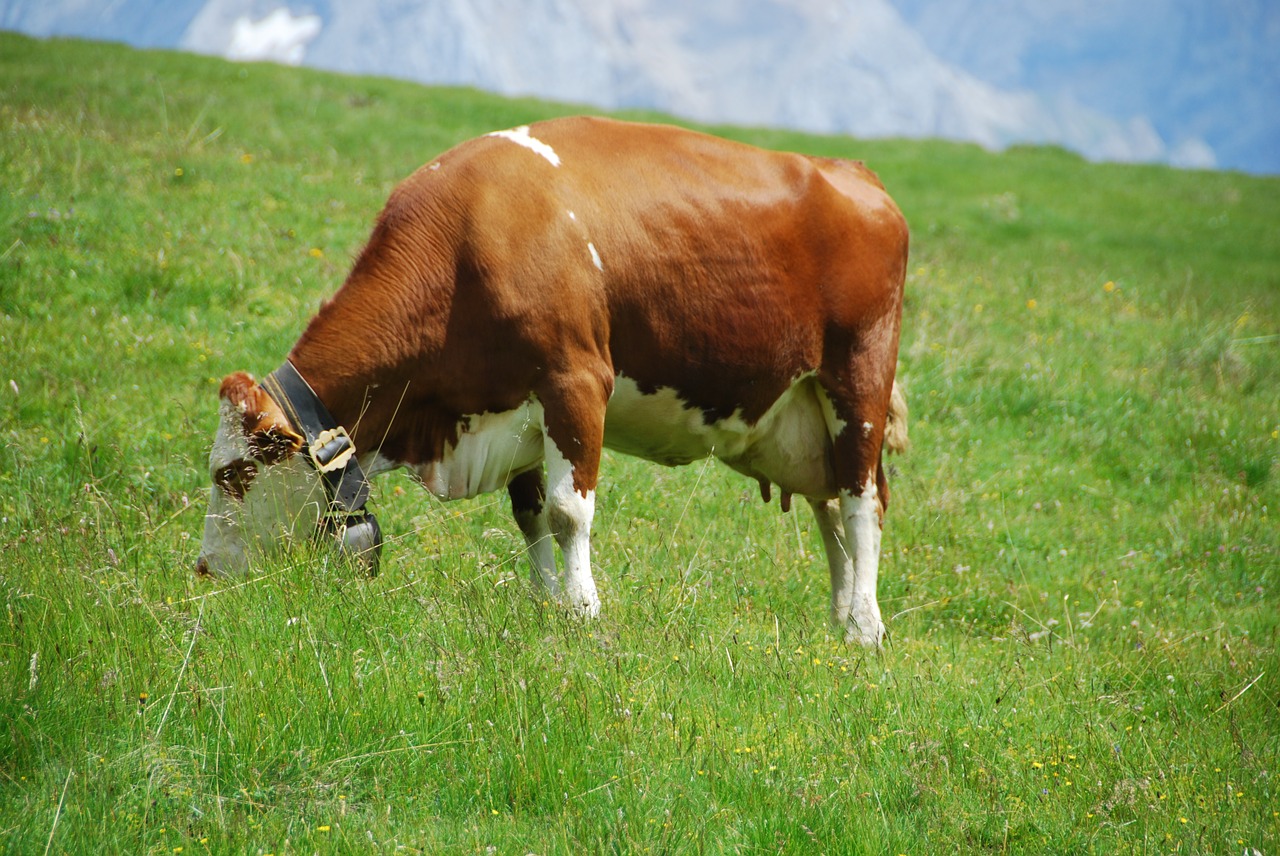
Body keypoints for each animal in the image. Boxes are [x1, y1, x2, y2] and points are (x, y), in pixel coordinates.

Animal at [194, 117, 906, 644]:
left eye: (232, 473)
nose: (202, 568)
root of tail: (854, 172)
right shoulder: (512, 409)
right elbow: (529, 514)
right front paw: (547, 607)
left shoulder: (576, 381)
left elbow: (568, 511)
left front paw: (585, 612)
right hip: (803, 414)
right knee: (829, 508)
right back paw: (838, 618)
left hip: (859, 381)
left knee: (862, 502)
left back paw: (864, 631)